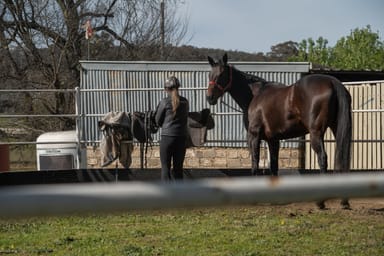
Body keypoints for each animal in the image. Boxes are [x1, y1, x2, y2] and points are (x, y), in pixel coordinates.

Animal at [207, 53, 352, 208]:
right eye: (210, 74)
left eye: (222, 74)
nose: (209, 98)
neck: (255, 96)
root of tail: (332, 82)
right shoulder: (273, 140)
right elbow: (274, 166)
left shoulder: (254, 136)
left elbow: (255, 163)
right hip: (336, 129)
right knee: (341, 158)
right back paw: (344, 201)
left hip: (316, 134)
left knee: (323, 158)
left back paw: (320, 202)